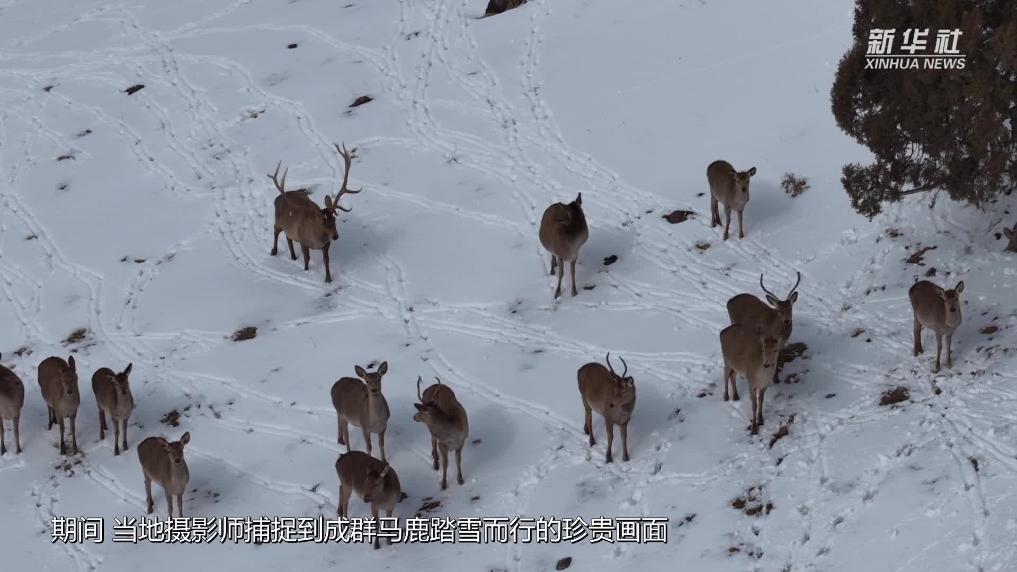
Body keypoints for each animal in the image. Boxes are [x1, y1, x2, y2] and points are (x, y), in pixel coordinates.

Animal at [269, 142, 361, 283]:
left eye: (334, 220)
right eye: (323, 222)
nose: (335, 236)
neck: (317, 239)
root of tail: (278, 198)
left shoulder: (326, 244)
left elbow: (326, 261)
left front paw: (328, 279)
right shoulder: (303, 241)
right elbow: (307, 259)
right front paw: (306, 271)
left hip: (289, 228)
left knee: (288, 237)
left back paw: (293, 256)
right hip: (278, 221)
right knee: (276, 231)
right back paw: (273, 251)